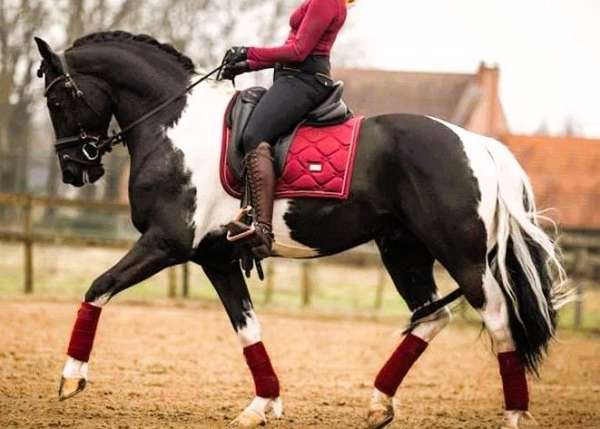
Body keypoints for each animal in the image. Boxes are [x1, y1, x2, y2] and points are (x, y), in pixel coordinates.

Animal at [35, 33, 568, 428]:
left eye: (58, 98)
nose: (74, 169)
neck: (174, 125)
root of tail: (477, 144)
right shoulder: (215, 258)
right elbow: (247, 328)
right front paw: (263, 404)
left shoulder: (166, 243)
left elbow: (98, 287)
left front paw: (70, 377)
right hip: (403, 249)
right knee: (432, 318)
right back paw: (377, 404)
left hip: (462, 256)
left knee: (499, 321)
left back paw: (514, 415)